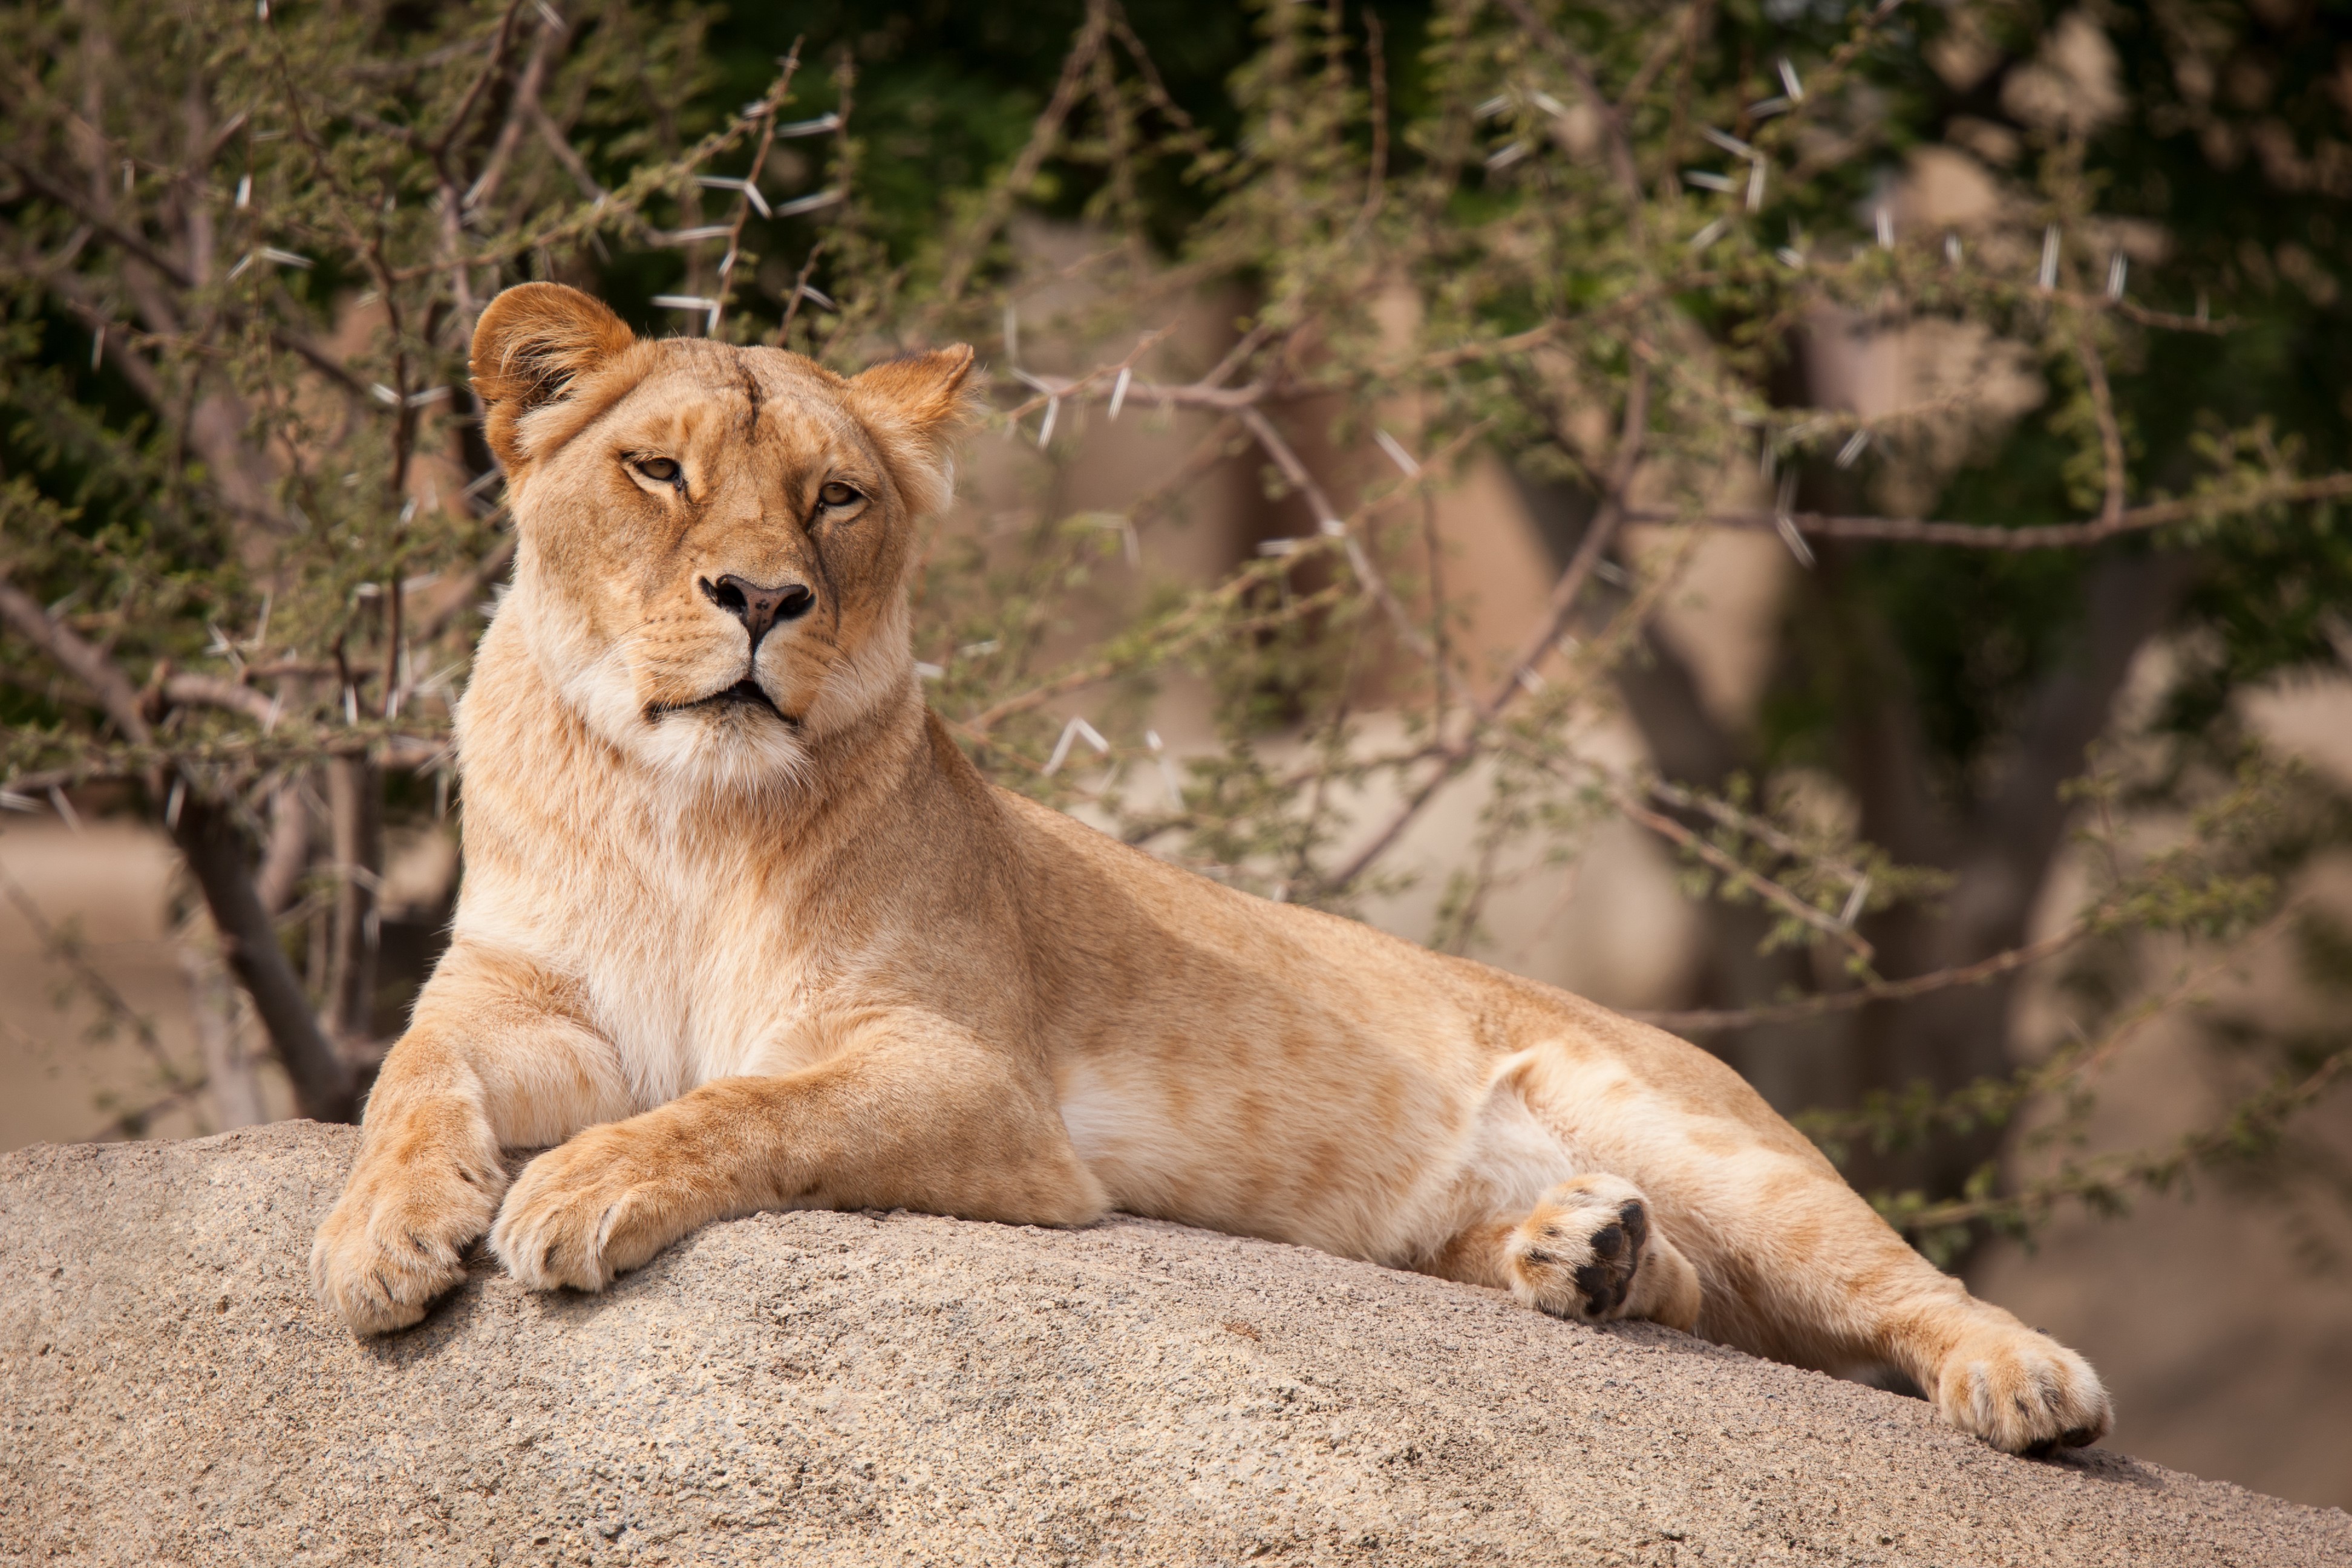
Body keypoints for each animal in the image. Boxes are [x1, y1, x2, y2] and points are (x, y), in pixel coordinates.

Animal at [311, 281, 2110, 1456]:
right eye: (660, 470)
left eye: (835, 498)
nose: (764, 598)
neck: (679, 814)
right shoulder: (525, 1003)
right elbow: (407, 1073)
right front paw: (378, 1241)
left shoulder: (968, 1079)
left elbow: (744, 1106)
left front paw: (575, 1191)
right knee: (1678, 1287)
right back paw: (1583, 1256)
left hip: (1707, 1131)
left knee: (1892, 1279)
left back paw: (2027, 1384)